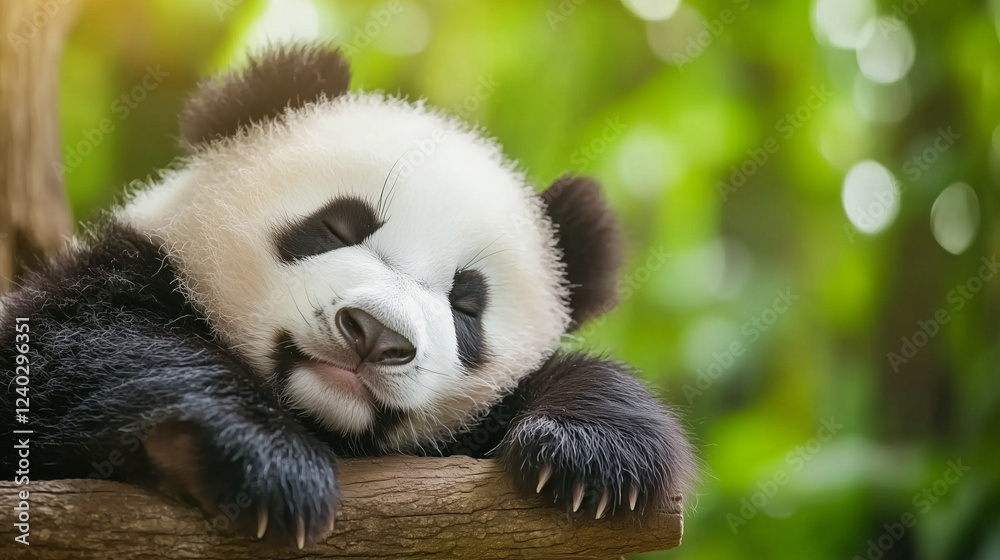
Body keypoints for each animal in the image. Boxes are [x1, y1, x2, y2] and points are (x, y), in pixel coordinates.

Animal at [0, 45, 695, 549]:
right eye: (338, 226)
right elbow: (80, 344)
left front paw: (592, 452)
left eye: (467, 305)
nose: (377, 334)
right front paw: (264, 459)